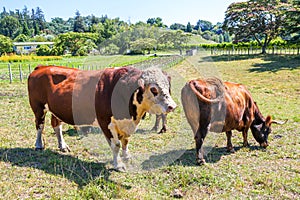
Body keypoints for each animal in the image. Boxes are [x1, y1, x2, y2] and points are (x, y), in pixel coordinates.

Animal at [27, 65, 176, 170]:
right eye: (153, 89)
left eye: (168, 87)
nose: (172, 106)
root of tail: (42, 67)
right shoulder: (105, 122)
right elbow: (116, 145)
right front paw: (118, 165)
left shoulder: (127, 124)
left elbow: (125, 141)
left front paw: (127, 156)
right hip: (38, 107)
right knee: (40, 125)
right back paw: (39, 145)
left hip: (56, 109)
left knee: (56, 125)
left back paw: (62, 146)